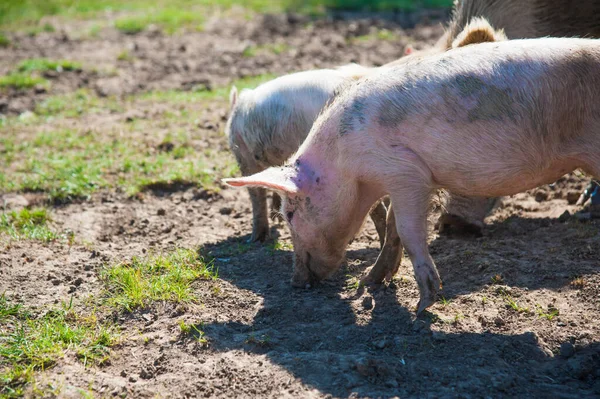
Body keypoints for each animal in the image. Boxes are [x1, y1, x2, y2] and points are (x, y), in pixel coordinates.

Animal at [224, 39, 600, 316]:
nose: (295, 283)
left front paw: (423, 305)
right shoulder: (399, 180)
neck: (348, 163)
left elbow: (407, 228)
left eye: (290, 213)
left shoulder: (407, 172)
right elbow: (392, 226)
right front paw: (370, 284)